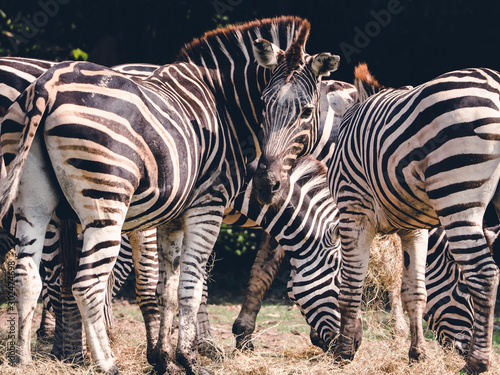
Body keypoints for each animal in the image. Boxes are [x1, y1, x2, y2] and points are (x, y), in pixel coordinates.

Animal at [0, 17, 338, 375]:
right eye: (263, 105)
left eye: (306, 111)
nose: (266, 184)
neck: (227, 108)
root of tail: (47, 85)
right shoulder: (207, 205)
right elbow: (191, 286)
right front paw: (190, 358)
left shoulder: (171, 216)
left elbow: (168, 290)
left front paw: (165, 358)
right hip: (106, 204)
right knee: (87, 283)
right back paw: (107, 363)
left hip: (33, 204)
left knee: (27, 277)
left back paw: (22, 360)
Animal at [322, 66, 500, 374]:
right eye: (461, 290)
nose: (461, 350)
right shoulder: (414, 227)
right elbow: (415, 291)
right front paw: (417, 354)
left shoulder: (353, 209)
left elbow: (350, 286)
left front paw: (342, 353)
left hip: (457, 194)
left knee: (484, 273)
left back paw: (475, 364)